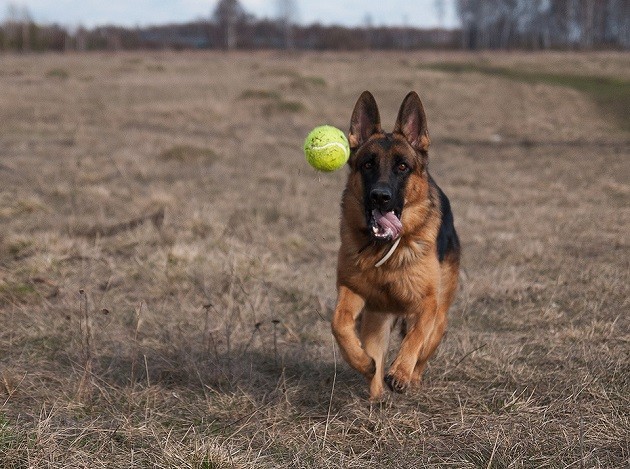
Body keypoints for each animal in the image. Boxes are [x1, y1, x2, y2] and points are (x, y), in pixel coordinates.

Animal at [334, 90, 462, 398]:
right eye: (368, 164)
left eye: (402, 167)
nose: (381, 197)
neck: (385, 253)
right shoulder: (351, 289)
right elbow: (339, 324)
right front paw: (362, 362)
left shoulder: (427, 304)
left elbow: (415, 337)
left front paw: (401, 372)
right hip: (377, 320)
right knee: (375, 352)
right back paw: (376, 392)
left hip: (440, 316)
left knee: (426, 344)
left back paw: (410, 378)